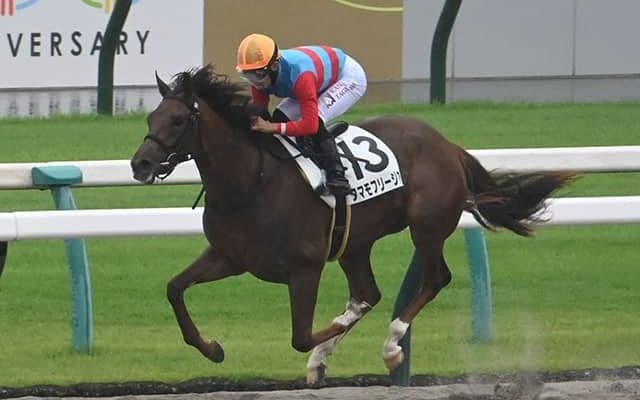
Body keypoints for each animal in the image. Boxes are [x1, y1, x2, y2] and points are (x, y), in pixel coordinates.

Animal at [130, 65, 575, 384]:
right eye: (152, 116)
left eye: (177, 120)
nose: (140, 164)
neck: (251, 182)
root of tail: (447, 144)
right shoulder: (229, 257)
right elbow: (174, 289)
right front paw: (212, 348)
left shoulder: (304, 268)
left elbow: (301, 336)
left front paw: (331, 346)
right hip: (354, 241)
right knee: (368, 292)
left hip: (427, 226)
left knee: (433, 279)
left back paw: (392, 346)